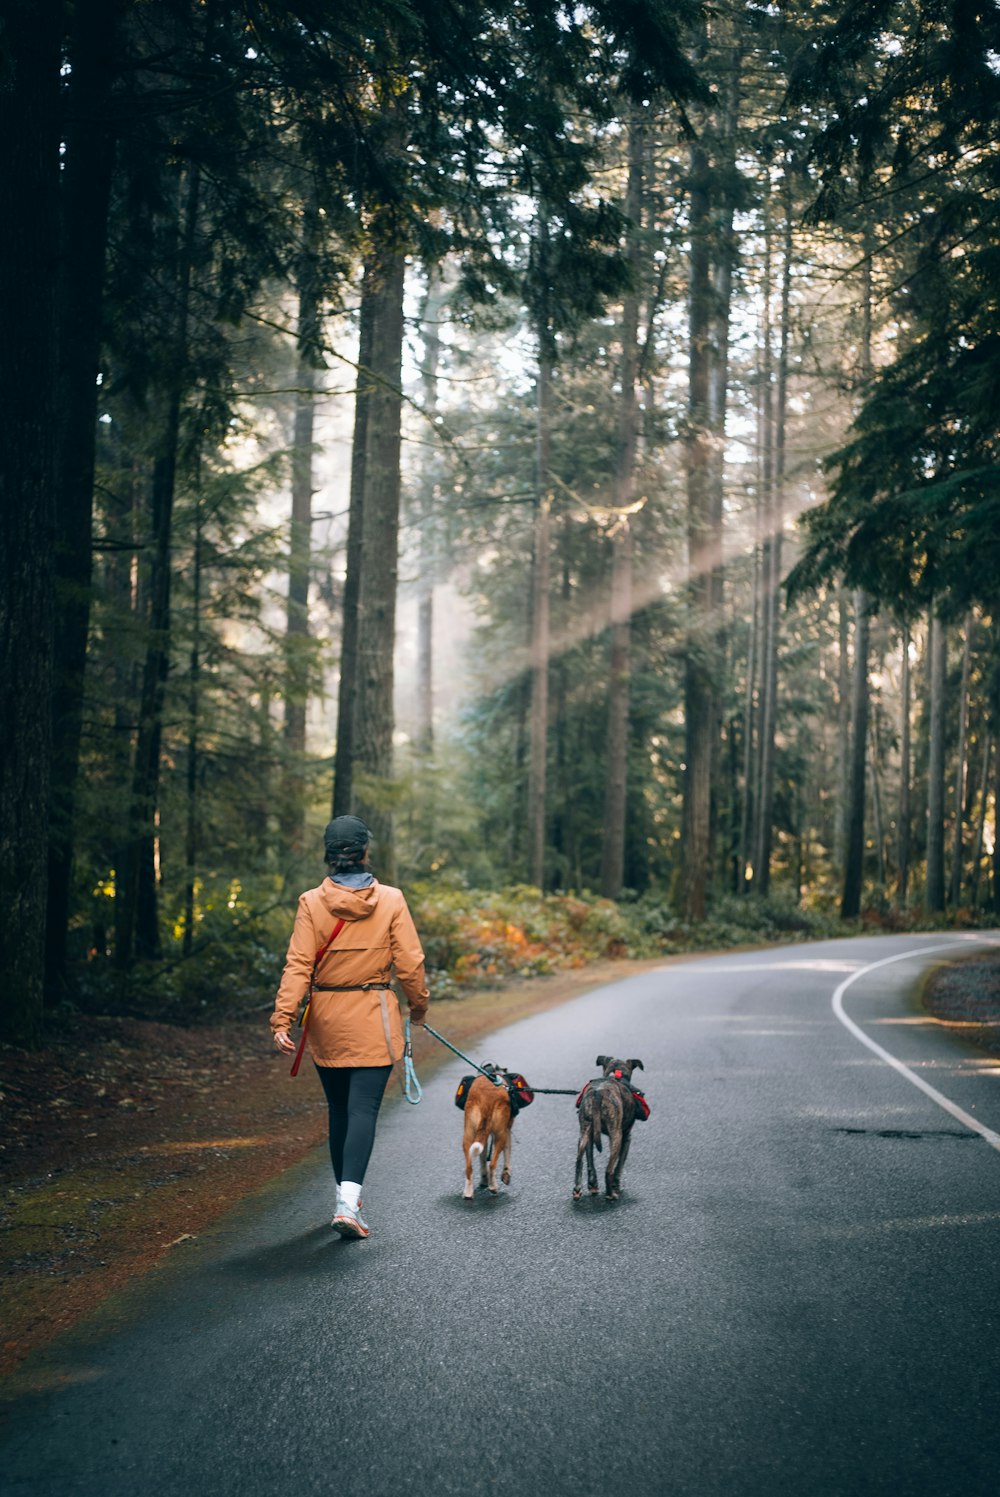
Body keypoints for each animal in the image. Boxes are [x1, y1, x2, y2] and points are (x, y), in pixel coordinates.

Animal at [574, 1053, 643, 1203]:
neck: (615, 1074)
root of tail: (598, 1094)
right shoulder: (626, 1138)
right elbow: (620, 1165)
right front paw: (616, 1184)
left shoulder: (591, 1135)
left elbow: (590, 1161)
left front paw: (593, 1184)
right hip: (616, 1135)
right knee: (609, 1169)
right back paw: (611, 1194)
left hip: (584, 1131)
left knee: (579, 1160)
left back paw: (577, 1189)